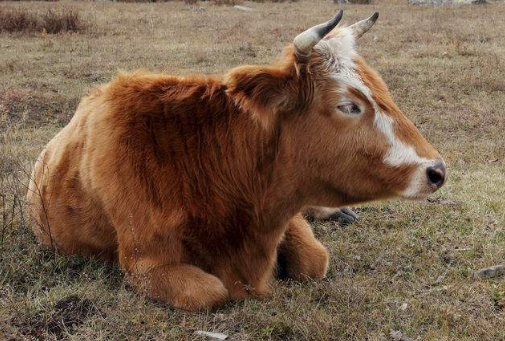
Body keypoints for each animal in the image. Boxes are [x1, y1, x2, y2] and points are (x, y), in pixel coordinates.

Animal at [27, 11, 444, 310]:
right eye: (348, 105)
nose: (437, 170)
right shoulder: (144, 263)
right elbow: (209, 293)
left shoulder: (286, 214)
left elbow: (314, 260)